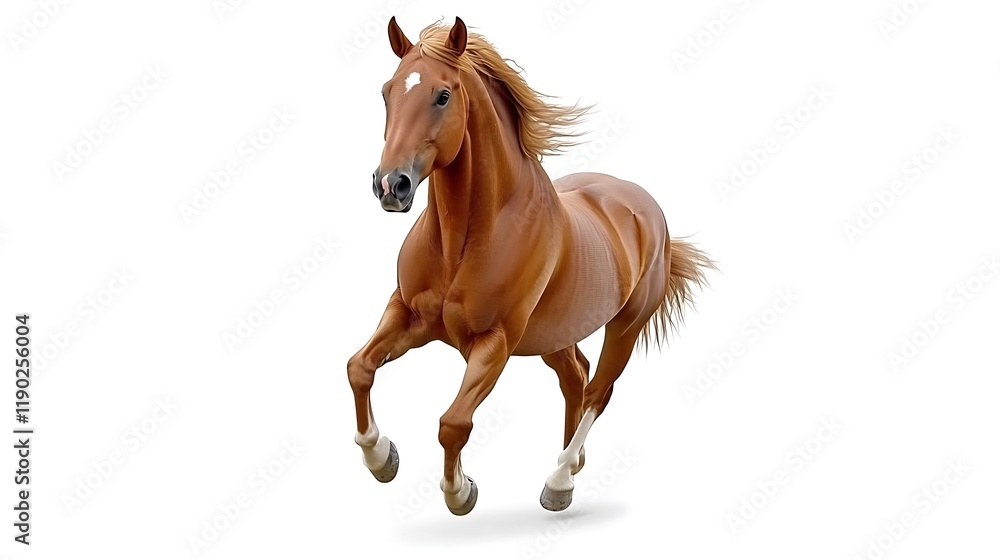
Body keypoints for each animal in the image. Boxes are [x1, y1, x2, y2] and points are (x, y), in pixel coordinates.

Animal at [348, 16, 713, 515]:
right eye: (387, 92)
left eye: (442, 95)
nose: (390, 185)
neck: (462, 244)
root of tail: (644, 207)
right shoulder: (407, 314)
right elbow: (359, 368)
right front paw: (381, 457)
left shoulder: (494, 342)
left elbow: (453, 422)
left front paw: (459, 491)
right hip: (554, 335)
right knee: (576, 378)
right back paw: (572, 463)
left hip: (625, 326)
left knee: (598, 390)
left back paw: (559, 481)